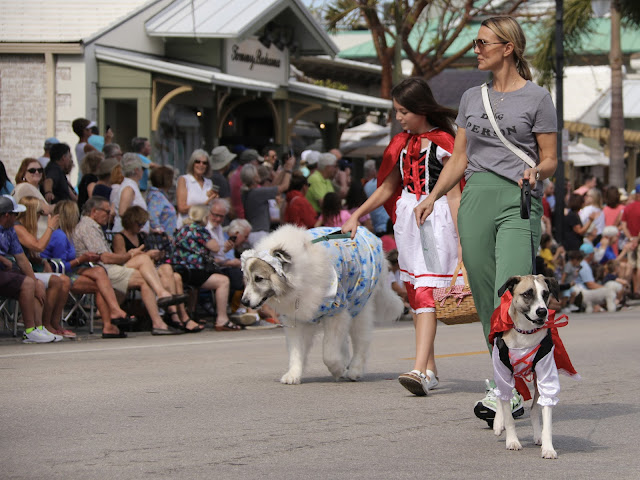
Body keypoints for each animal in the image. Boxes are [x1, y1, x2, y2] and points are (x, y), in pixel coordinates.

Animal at [241, 225, 403, 385]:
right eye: (247, 279)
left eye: (259, 278)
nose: (244, 302)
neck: (299, 277)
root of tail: (365, 231)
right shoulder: (297, 319)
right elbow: (296, 350)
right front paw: (293, 374)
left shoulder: (336, 312)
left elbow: (329, 354)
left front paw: (338, 369)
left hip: (359, 304)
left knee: (361, 341)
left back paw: (354, 370)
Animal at [490, 275, 579, 459]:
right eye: (527, 294)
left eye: (545, 294)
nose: (542, 312)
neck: (525, 333)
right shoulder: (502, 369)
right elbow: (508, 415)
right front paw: (512, 441)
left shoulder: (545, 372)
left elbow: (546, 412)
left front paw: (548, 447)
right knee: (500, 395)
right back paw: (498, 424)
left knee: (533, 409)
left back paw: (537, 435)